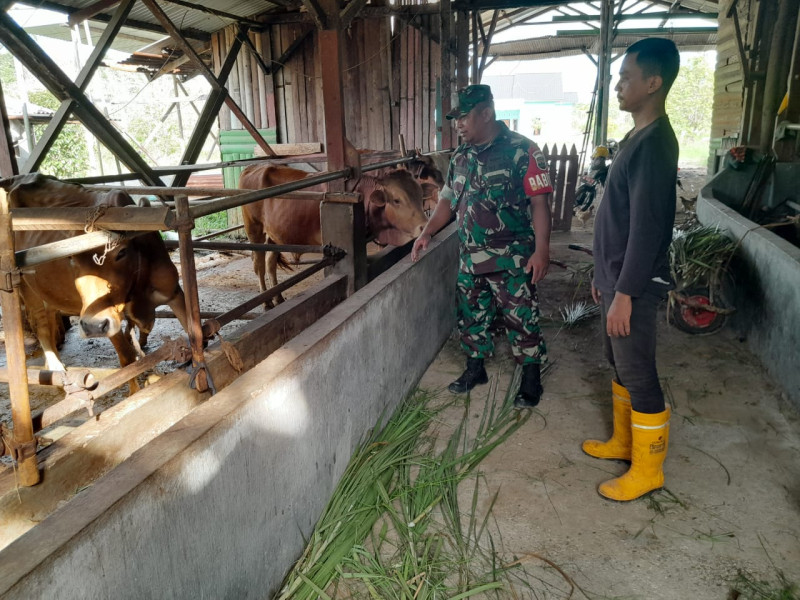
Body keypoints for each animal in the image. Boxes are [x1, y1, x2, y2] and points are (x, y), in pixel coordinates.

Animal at [1, 175, 189, 380]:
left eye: (121, 252)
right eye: (71, 258)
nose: (92, 327)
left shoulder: (174, 292)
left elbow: (195, 332)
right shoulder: (104, 316)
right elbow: (127, 359)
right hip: (26, 288)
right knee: (41, 325)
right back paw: (55, 368)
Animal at [239, 164, 438, 304]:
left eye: (420, 195)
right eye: (396, 200)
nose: (424, 226)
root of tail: (252, 167)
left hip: (274, 237)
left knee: (270, 262)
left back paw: (278, 297)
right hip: (254, 229)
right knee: (259, 264)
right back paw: (267, 303)